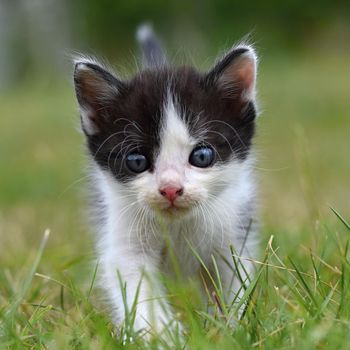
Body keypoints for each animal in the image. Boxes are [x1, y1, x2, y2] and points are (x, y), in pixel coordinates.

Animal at [74, 25, 258, 336]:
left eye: (202, 156)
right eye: (137, 161)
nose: (171, 188)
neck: (177, 226)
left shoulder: (232, 231)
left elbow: (233, 281)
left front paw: (230, 330)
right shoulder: (125, 241)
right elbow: (139, 290)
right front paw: (163, 335)